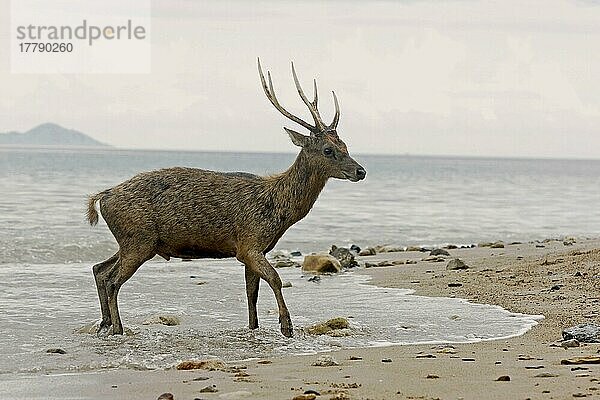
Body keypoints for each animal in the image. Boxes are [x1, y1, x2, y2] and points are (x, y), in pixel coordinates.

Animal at [84, 59, 366, 340]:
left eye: (345, 145)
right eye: (328, 150)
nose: (361, 171)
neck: (278, 211)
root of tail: (102, 197)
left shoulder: (256, 248)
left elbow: (252, 292)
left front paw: (254, 327)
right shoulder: (249, 244)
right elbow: (275, 278)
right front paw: (287, 326)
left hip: (132, 241)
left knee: (100, 269)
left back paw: (104, 323)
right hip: (139, 240)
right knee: (113, 280)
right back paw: (117, 328)